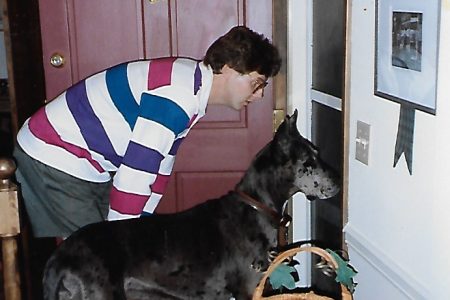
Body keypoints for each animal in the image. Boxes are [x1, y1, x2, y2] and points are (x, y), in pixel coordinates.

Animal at [43, 110, 338, 300]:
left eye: (318, 152)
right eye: (308, 161)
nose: (338, 181)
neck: (256, 207)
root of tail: (57, 260)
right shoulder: (248, 287)